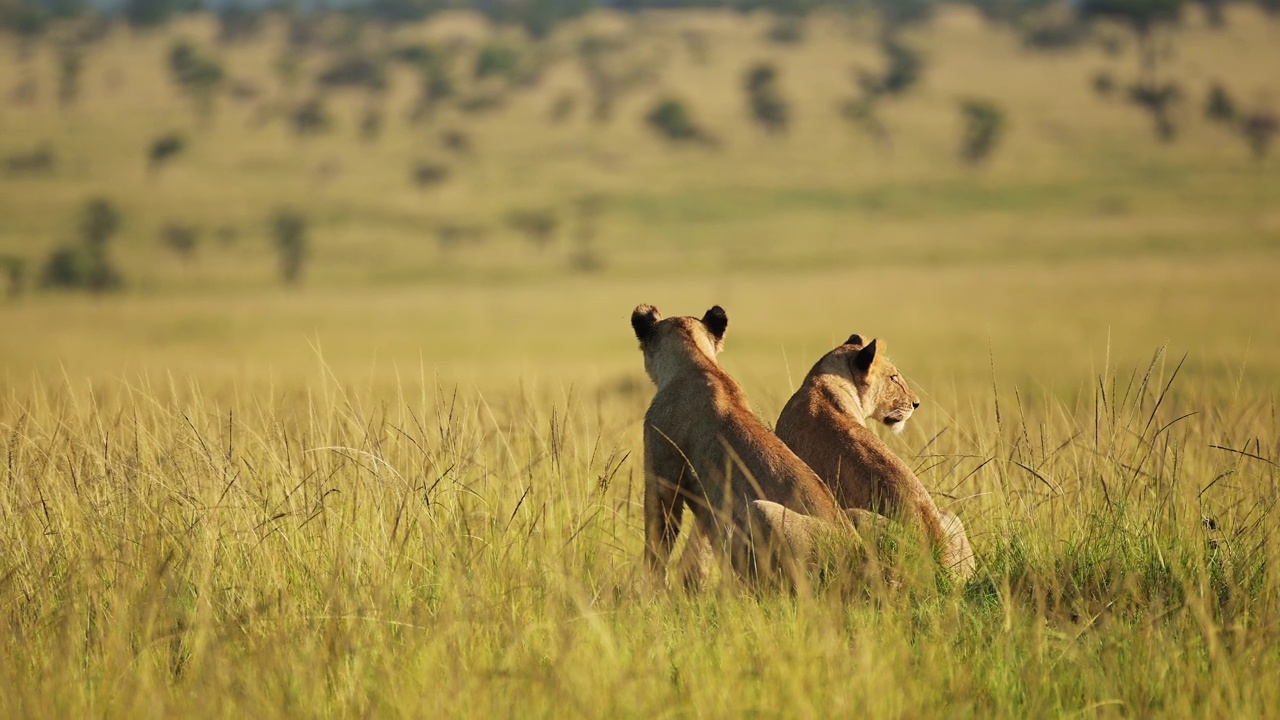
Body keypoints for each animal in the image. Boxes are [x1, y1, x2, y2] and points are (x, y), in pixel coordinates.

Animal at [632, 302, 855, 584]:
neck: (697, 360)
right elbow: (701, 547)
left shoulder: (663, 471)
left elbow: (658, 541)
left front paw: (650, 588)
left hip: (762, 511)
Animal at [773, 335, 972, 576]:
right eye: (893, 378)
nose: (916, 403)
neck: (823, 381)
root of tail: (940, 561)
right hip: (950, 516)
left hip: (854, 517)